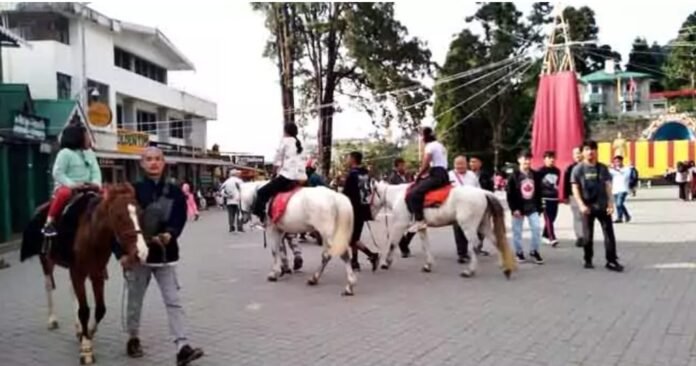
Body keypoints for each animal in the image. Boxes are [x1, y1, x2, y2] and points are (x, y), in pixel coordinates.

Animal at [20, 184, 148, 364]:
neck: (91, 233)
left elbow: (100, 309)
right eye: (118, 216)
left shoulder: (96, 273)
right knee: (48, 286)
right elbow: (85, 310)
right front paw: (86, 350)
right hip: (46, 261)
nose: (142, 252)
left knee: (71, 291)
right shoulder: (79, 272)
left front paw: (87, 333)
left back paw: (78, 328)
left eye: (140, 212)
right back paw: (52, 319)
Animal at [370, 180, 516, 278]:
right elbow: (426, 245)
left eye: (368, 193)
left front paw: (386, 263)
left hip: (468, 226)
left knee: (475, 245)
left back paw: (469, 271)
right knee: (496, 241)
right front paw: (428, 265)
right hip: (483, 225)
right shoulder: (421, 227)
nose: (369, 214)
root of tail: (484, 192)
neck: (398, 196)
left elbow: (393, 243)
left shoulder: (400, 224)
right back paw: (504, 267)